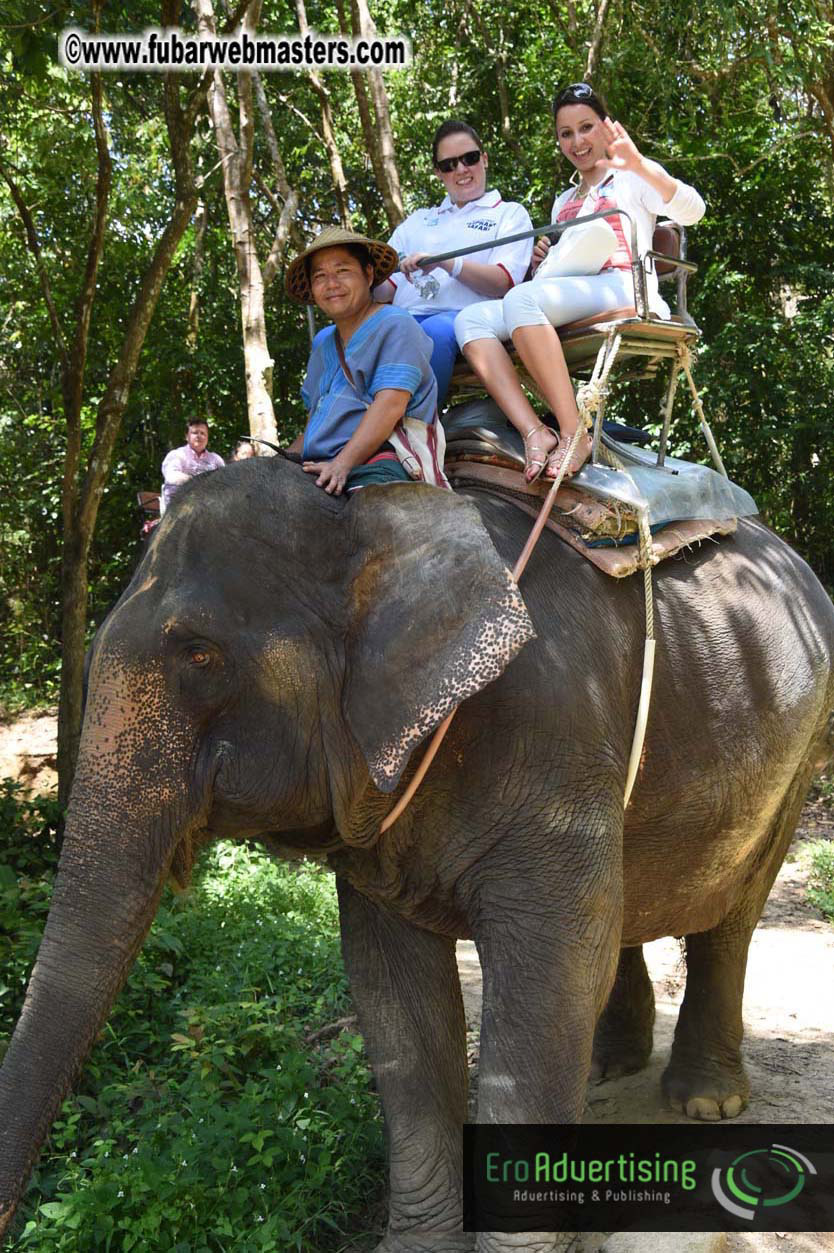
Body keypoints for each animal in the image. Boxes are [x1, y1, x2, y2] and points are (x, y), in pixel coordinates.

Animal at [1, 454, 833, 1253]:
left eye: (200, 654)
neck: (372, 520)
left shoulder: (555, 738)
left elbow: (549, 975)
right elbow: (395, 989)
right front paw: (421, 1244)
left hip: (799, 748)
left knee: (733, 914)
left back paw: (706, 1099)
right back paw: (607, 1065)